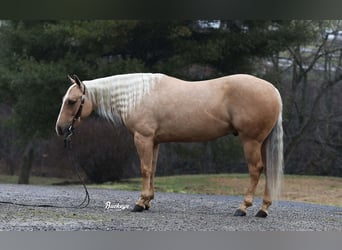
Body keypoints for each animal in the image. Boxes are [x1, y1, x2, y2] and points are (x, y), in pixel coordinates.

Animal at [56, 73, 284, 217]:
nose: (60, 128)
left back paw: (243, 208)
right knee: (267, 170)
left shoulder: (143, 138)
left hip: (251, 141)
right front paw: (147, 201)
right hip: (262, 142)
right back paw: (263, 209)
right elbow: (153, 169)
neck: (137, 96)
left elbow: (145, 169)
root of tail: (273, 90)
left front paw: (139, 203)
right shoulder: (155, 141)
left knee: (255, 170)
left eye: (72, 101)